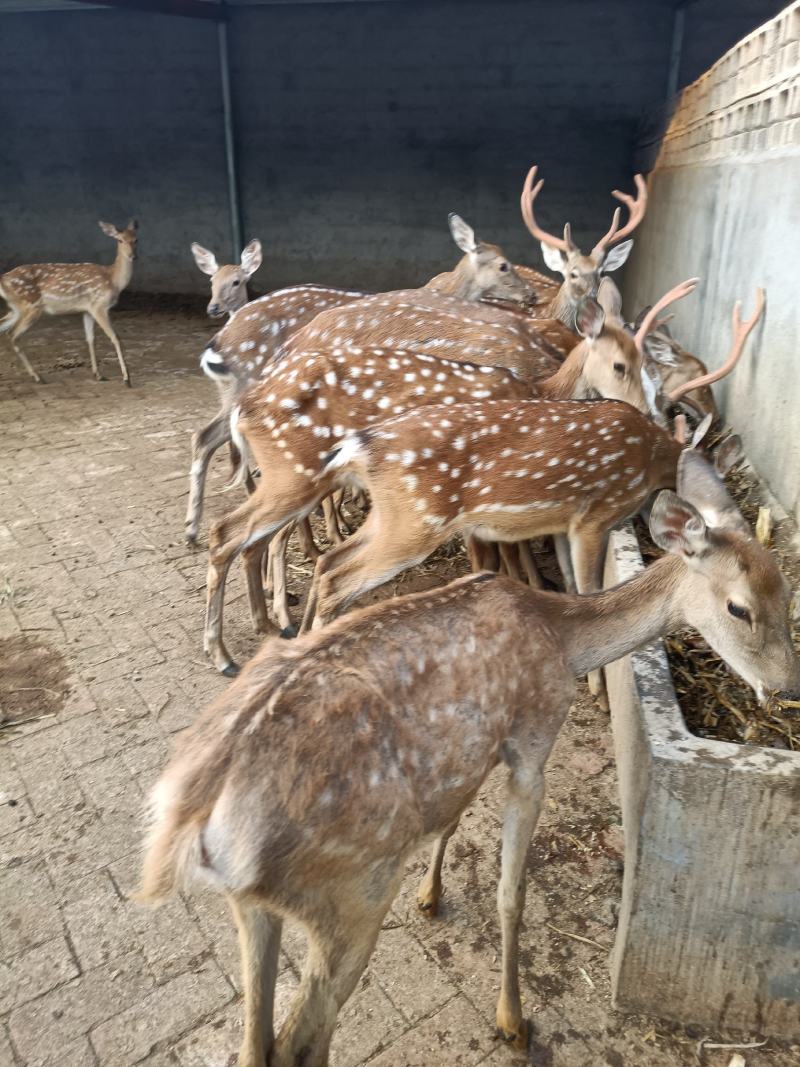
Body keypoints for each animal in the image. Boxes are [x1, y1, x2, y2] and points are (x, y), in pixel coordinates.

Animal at [0, 219, 137, 386]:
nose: (132, 256)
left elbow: (91, 339)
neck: (113, 280)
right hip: (30, 305)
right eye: (120, 240)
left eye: (136, 239)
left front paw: (98, 375)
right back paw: (38, 377)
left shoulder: (87, 309)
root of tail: (2, 280)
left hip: (15, 308)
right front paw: (127, 379)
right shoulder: (99, 305)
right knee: (13, 334)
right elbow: (115, 337)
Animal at [137, 461, 800, 1067]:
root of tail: (192, 825)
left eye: (787, 593)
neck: (563, 641)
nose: (787, 685)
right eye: (740, 608)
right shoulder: (533, 737)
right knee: (300, 1039)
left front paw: (430, 896)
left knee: (254, 1041)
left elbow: (452, 819)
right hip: (351, 893)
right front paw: (513, 1019)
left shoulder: (475, 749)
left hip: (250, 906)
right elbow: (511, 890)